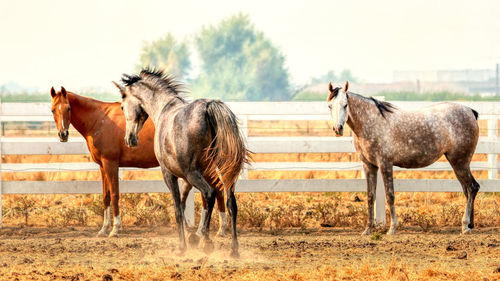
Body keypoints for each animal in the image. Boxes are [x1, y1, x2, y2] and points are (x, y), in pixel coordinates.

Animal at [49, 87, 227, 236]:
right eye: (52, 110)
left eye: (68, 108)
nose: (63, 134)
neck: (100, 119)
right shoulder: (102, 166)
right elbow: (106, 196)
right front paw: (104, 229)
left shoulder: (111, 163)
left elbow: (114, 194)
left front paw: (115, 229)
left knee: (214, 190)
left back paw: (214, 230)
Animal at [114, 68, 249, 256]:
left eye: (122, 106)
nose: (129, 139)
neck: (164, 109)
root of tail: (209, 107)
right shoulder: (186, 180)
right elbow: (186, 204)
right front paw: (194, 237)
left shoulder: (170, 174)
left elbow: (178, 208)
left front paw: (183, 246)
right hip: (223, 174)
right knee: (231, 203)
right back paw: (233, 249)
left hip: (195, 174)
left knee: (210, 194)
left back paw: (206, 242)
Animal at [328, 81, 480, 234]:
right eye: (330, 106)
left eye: (345, 105)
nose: (337, 129)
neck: (371, 123)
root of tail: (470, 111)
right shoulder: (369, 166)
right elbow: (370, 196)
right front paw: (367, 229)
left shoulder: (385, 164)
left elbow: (390, 195)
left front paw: (392, 229)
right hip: (457, 163)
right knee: (467, 190)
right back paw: (470, 225)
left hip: (460, 162)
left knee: (472, 188)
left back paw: (465, 225)